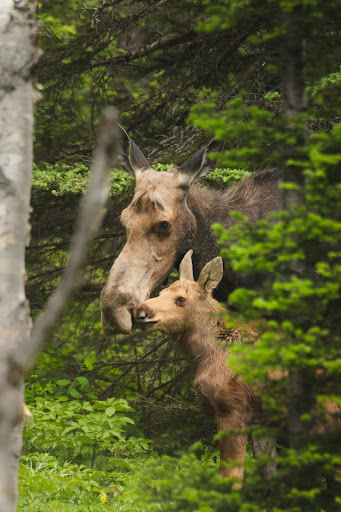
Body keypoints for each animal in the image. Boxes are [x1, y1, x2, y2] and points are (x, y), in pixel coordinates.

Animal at [134, 250, 264, 482]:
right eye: (162, 291)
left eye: (181, 299)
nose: (141, 311)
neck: (203, 355)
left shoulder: (233, 408)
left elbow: (231, 474)